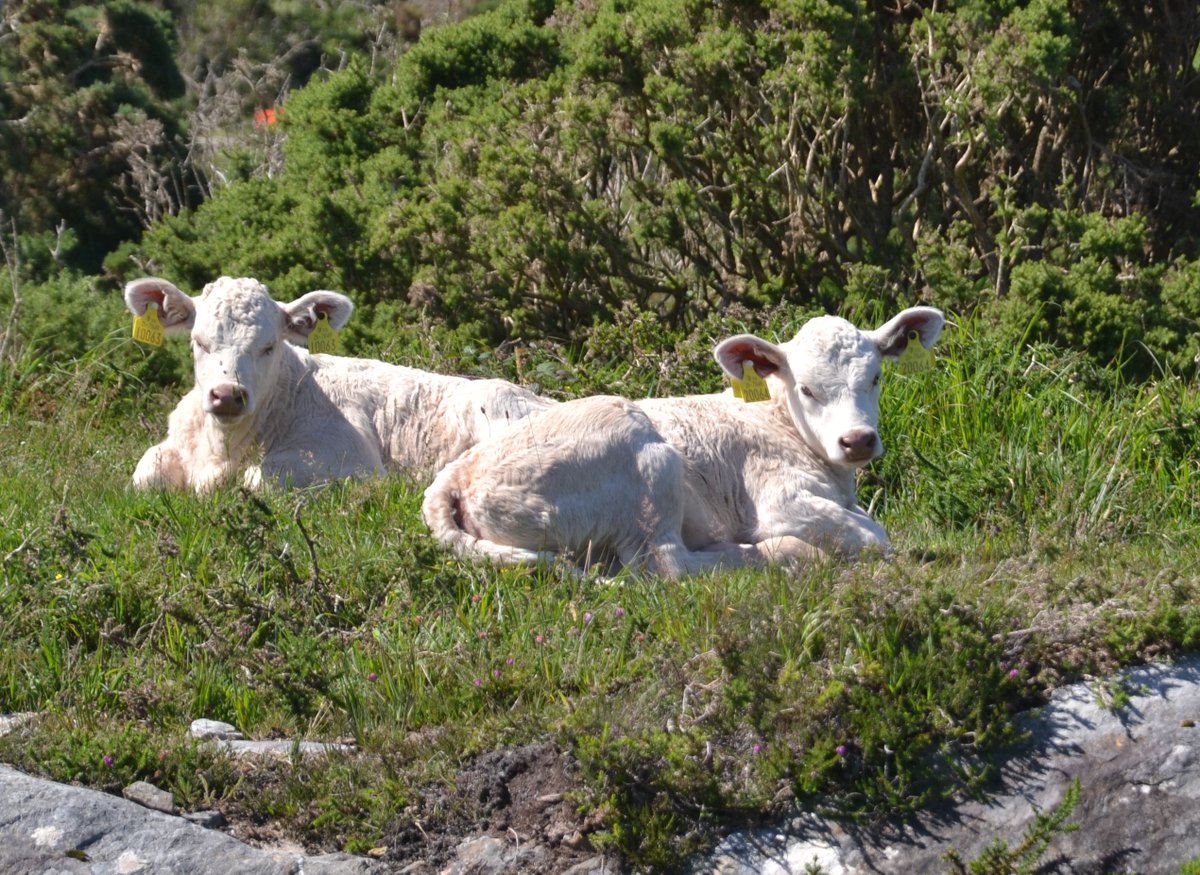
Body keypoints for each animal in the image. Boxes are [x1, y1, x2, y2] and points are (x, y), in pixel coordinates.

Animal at [124, 274, 554, 492]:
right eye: (199, 341)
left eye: (268, 346)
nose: (228, 395)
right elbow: (145, 474)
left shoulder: (350, 455)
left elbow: (258, 479)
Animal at [424, 303, 945, 576]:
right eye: (807, 389)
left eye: (876, 377)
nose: (857, 440)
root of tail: (455, 478)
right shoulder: (777, 499)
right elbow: (876, 538)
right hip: (651, 463)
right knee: (668, 563)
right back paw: (771, 553)